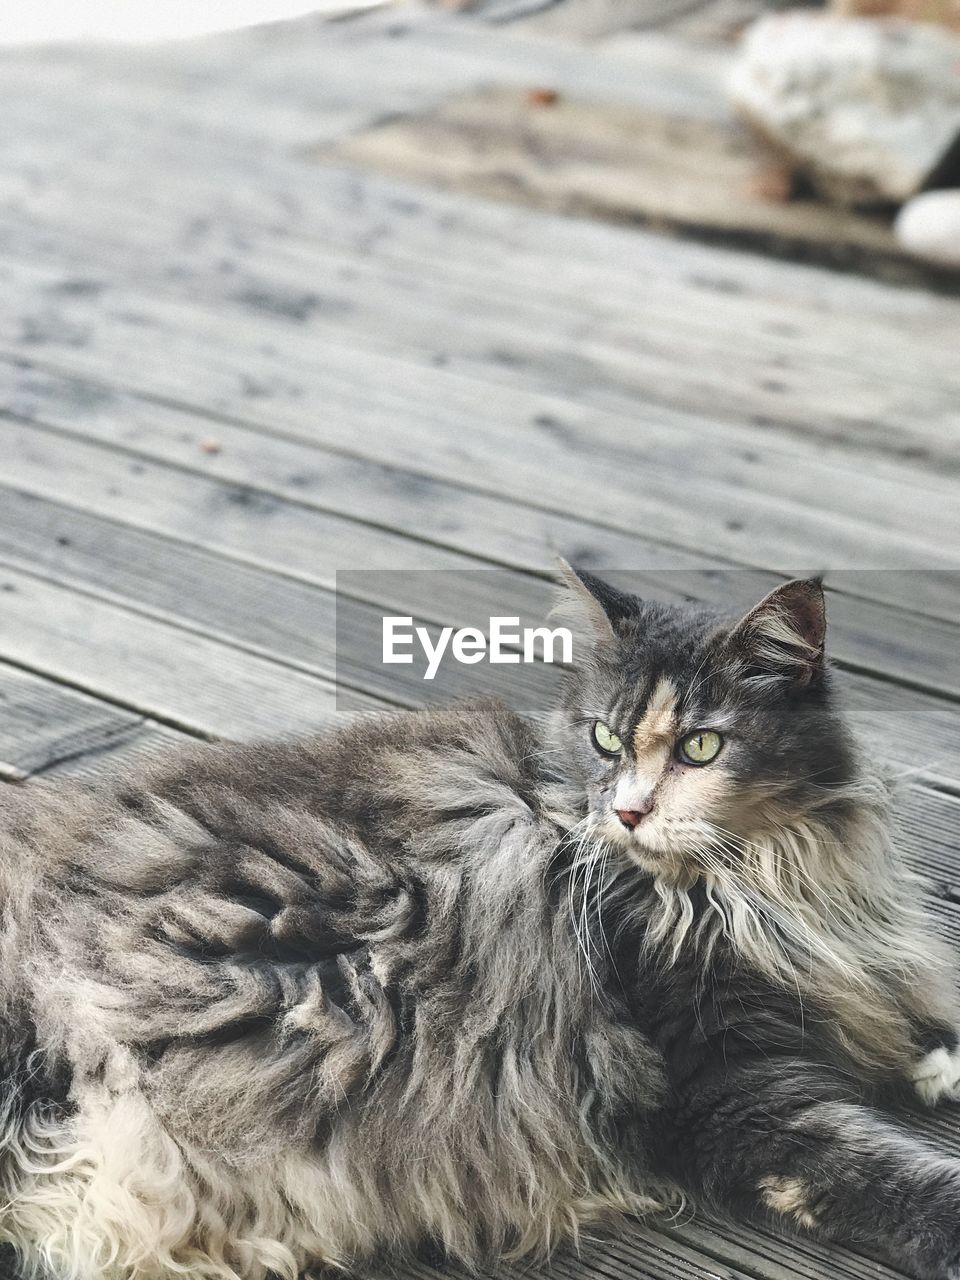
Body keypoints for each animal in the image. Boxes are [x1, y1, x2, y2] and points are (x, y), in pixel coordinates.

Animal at [1, 570, 960, 1280]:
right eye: (607, 740)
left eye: (701, 748)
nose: (627, 813)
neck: (765, 878)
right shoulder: (725, 1084)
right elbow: (880, 1175)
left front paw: (935, 1064)